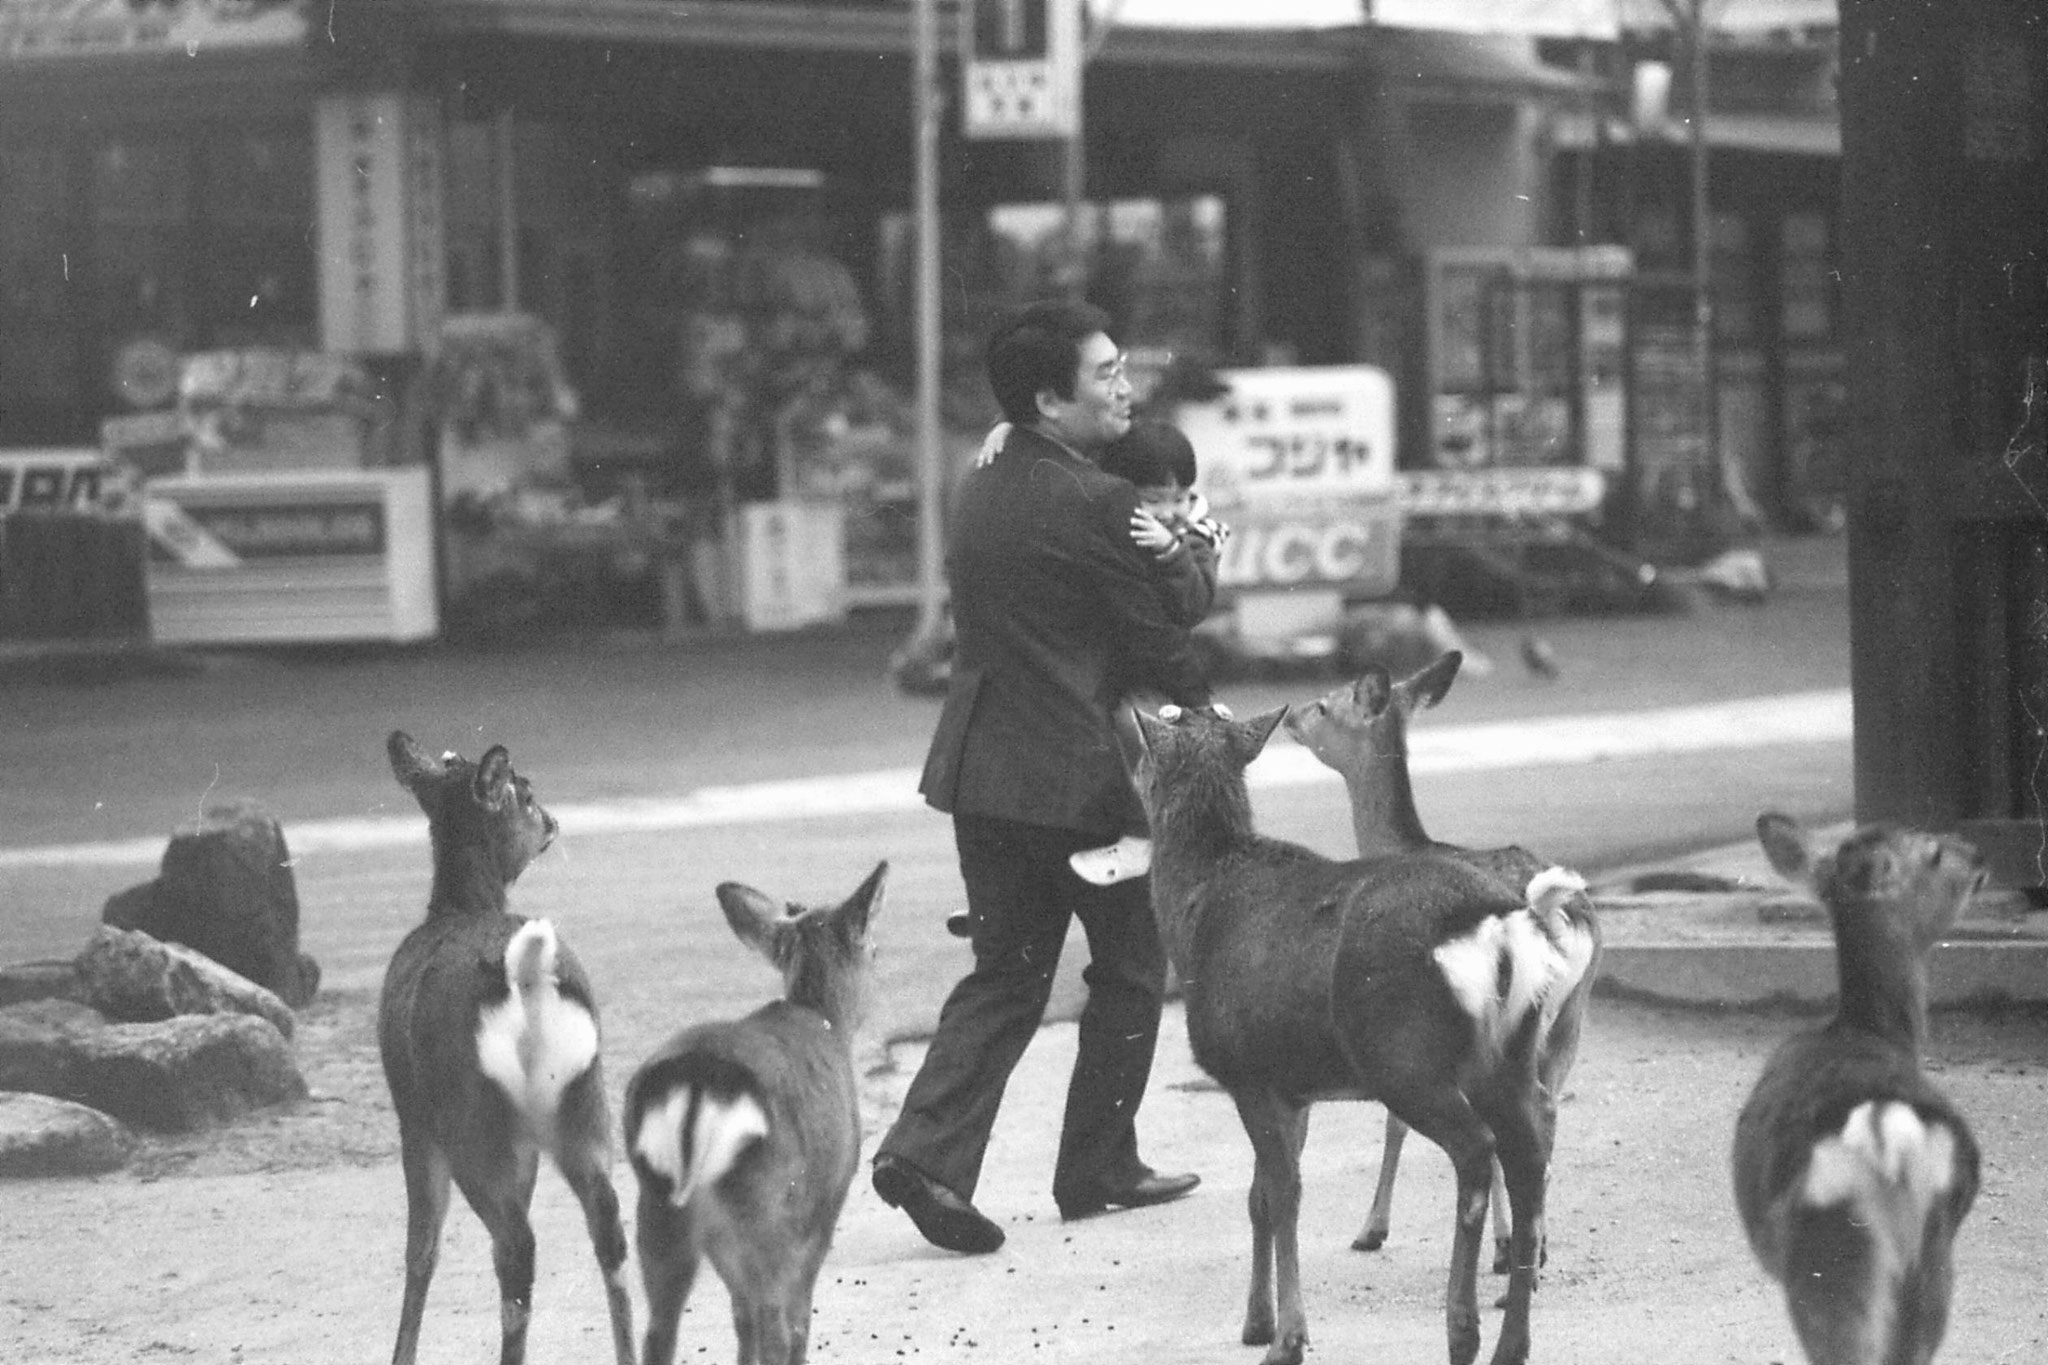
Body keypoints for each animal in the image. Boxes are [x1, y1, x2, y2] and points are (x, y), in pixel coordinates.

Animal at [376, 732, 630, 1365]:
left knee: (514, 1248)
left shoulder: (414, 1118)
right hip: (583, 1102)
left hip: (471, 1118)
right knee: (609, 1225)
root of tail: (526, 971)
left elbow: (422, 1248)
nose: (555, 821)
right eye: (530, 794)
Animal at [618, 863, 884, 1365]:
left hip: (659, 1201)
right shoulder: (828, 1198)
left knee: (661, 1330)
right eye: (875, 950)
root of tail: (697, 1084)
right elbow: (796, 1316)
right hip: (764, 1200)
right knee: (775, 1322)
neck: (826, 1020)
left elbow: (740, 1317)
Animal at [1130, 703, 1589, 1365]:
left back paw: (1462, 1328)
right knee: (1528, 1159)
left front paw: (1288, 1340)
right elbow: (1260, 1198)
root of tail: (1500, 925)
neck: (1191, 911)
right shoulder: (1291, 1084)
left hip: (1404, 1055)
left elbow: (1285, 1195)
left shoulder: (1247, 1071)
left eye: (1142, 752)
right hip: (1510, 1053)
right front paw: (1256, 1321)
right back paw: (1512, 1341)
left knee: (1476, 1152)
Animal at [1277, 650, 1597, 1268]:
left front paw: (1372, 1228)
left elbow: (1395, 1121)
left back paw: (1519, 1245)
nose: (1290, 718)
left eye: (1325, 705)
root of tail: (1562, 916)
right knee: (1548, 1109)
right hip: (1570, 1014)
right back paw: (1537, 1241)